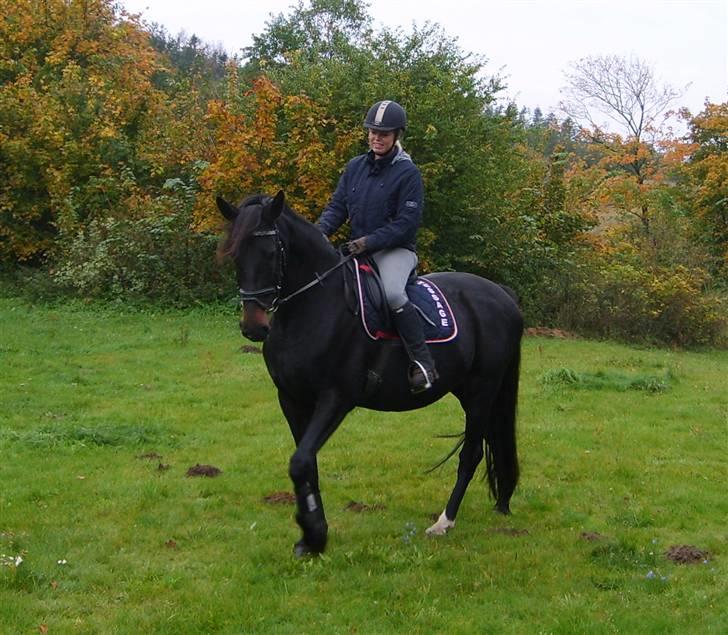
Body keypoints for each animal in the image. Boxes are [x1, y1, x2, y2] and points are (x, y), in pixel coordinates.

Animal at [216, 190, 524, 556]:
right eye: (235, 254)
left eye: (270, 252)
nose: (254, 326)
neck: (314, 308)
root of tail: (502, 294)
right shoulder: (290, 399)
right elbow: (306, 464)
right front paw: (310, 537)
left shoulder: (336, 398)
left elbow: (300, 461)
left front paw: (315, 534)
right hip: (469, 390)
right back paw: (500, 502)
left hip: (482, 390)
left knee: (471, 453)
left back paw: (444, 522)